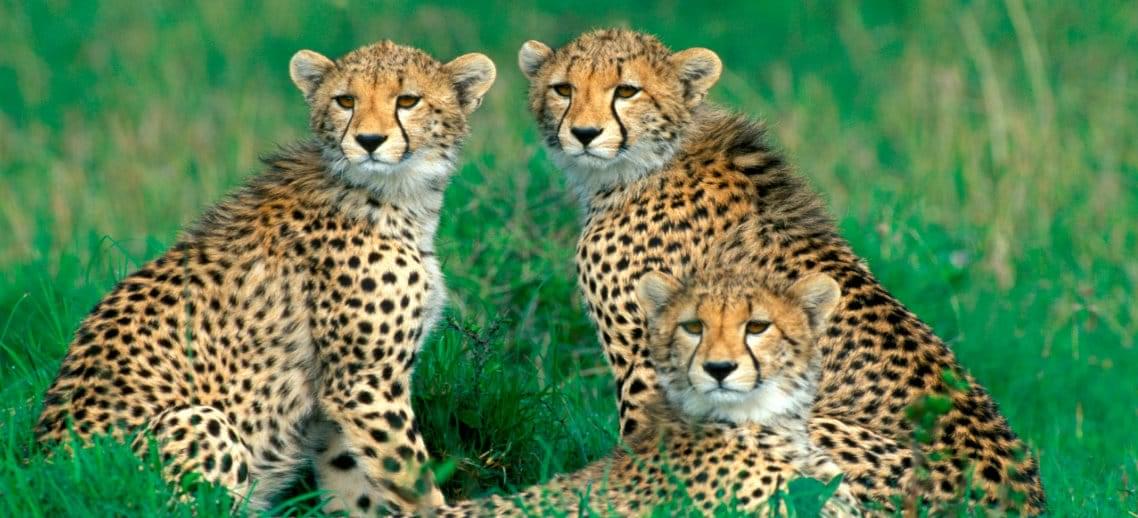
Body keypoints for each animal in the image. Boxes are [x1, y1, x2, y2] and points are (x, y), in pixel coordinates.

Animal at [33, 40, 496, 515]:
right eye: (345, 101)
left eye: (407, 100)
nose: (369, 141)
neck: (390, 193)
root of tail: (47, 479)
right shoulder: (363, 383)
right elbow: (411, 478)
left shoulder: (336, 399)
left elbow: (355, 484)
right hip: (196, 421)